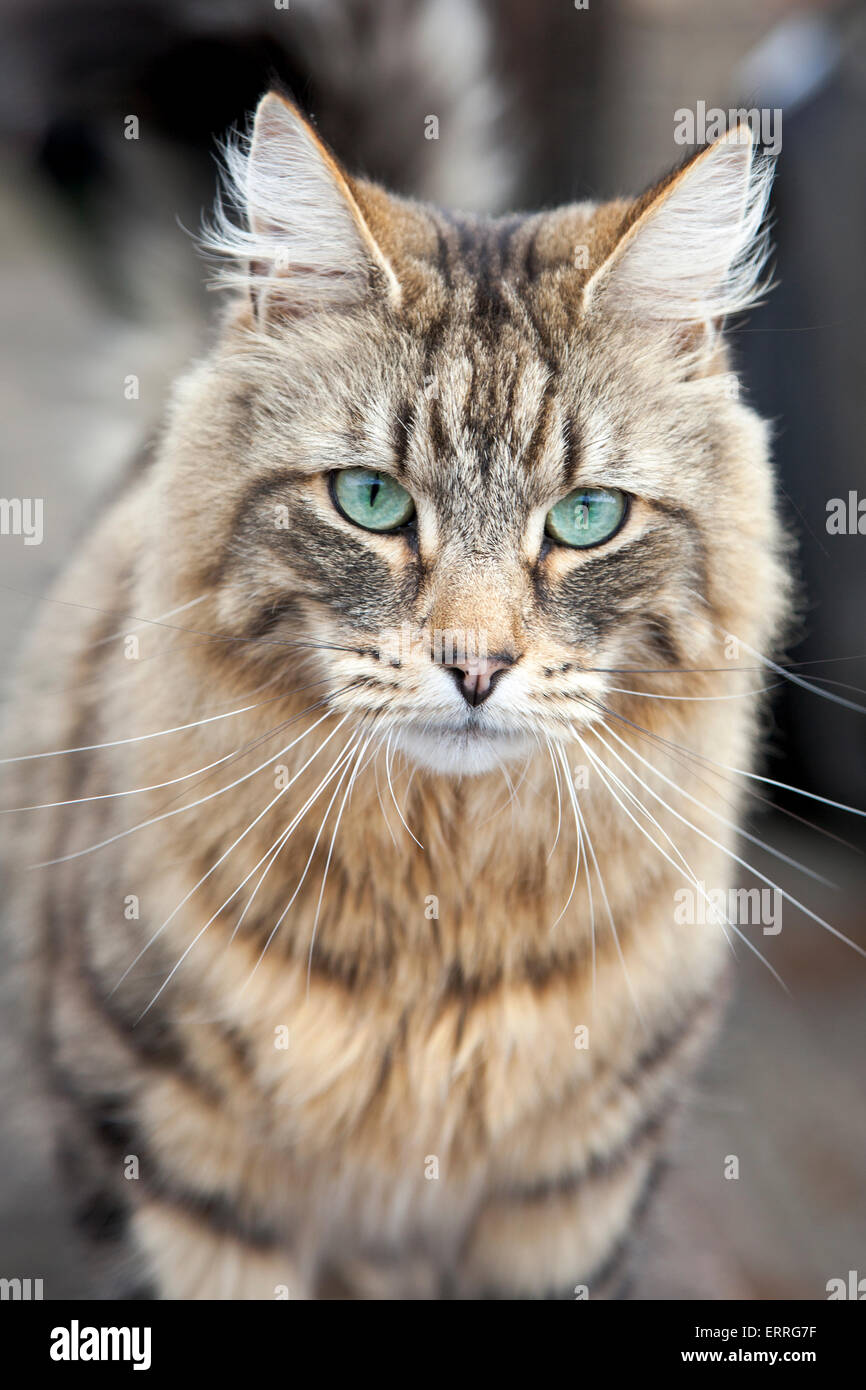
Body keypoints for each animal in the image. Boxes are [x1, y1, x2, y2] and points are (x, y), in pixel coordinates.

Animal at [3, 97, 783, 1301]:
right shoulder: (171, 1168)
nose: (474, 665)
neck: (434, 921)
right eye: (371, 500)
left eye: (586, 518)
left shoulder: (574, 1200)